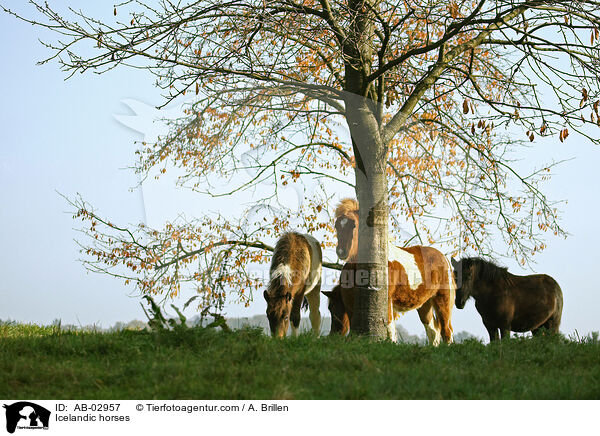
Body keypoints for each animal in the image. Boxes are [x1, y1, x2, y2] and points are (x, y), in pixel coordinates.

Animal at [326, 199, 458, 346]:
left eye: (354, 225)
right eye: (337, 225)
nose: (341, 252)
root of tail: (444, 257)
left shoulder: (387, 300)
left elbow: (390, 328)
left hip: (443, 300)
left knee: (447, 331)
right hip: (425, 304)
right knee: (433, 332)